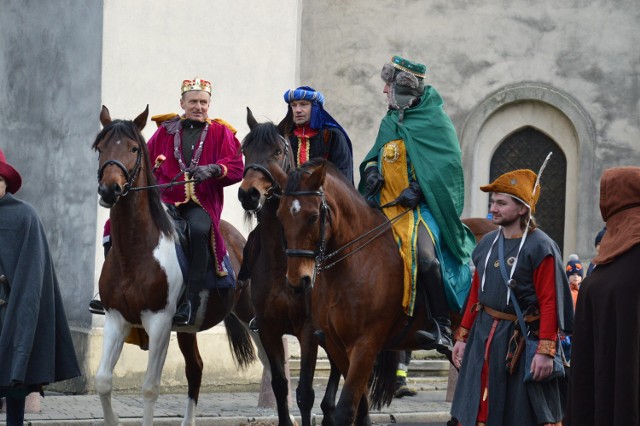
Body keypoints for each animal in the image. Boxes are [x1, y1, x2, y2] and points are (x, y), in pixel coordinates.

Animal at [92, 105, 258, 426]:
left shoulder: (159, 322)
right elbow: (104, 381)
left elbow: (149, 388)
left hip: (253, 316)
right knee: (196, 368)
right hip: (187, 329)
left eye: (133, 148)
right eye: (100, 148)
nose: (109, 189)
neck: (136, 251)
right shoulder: (116, 318)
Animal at [236, 110, 344, 426]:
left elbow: (305, 393)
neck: (280, 260)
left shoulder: (308, 331)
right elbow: (280, 386)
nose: (249, 194)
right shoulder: (268, 329)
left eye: (278, 151)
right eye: (245, 151)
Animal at [274, 160, 490, 426]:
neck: (354, 261)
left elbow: (345, 411)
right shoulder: (337, 345)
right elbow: (361, 409)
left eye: (313, 216)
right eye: (280, 216)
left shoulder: (366, 345)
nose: (297, 281)